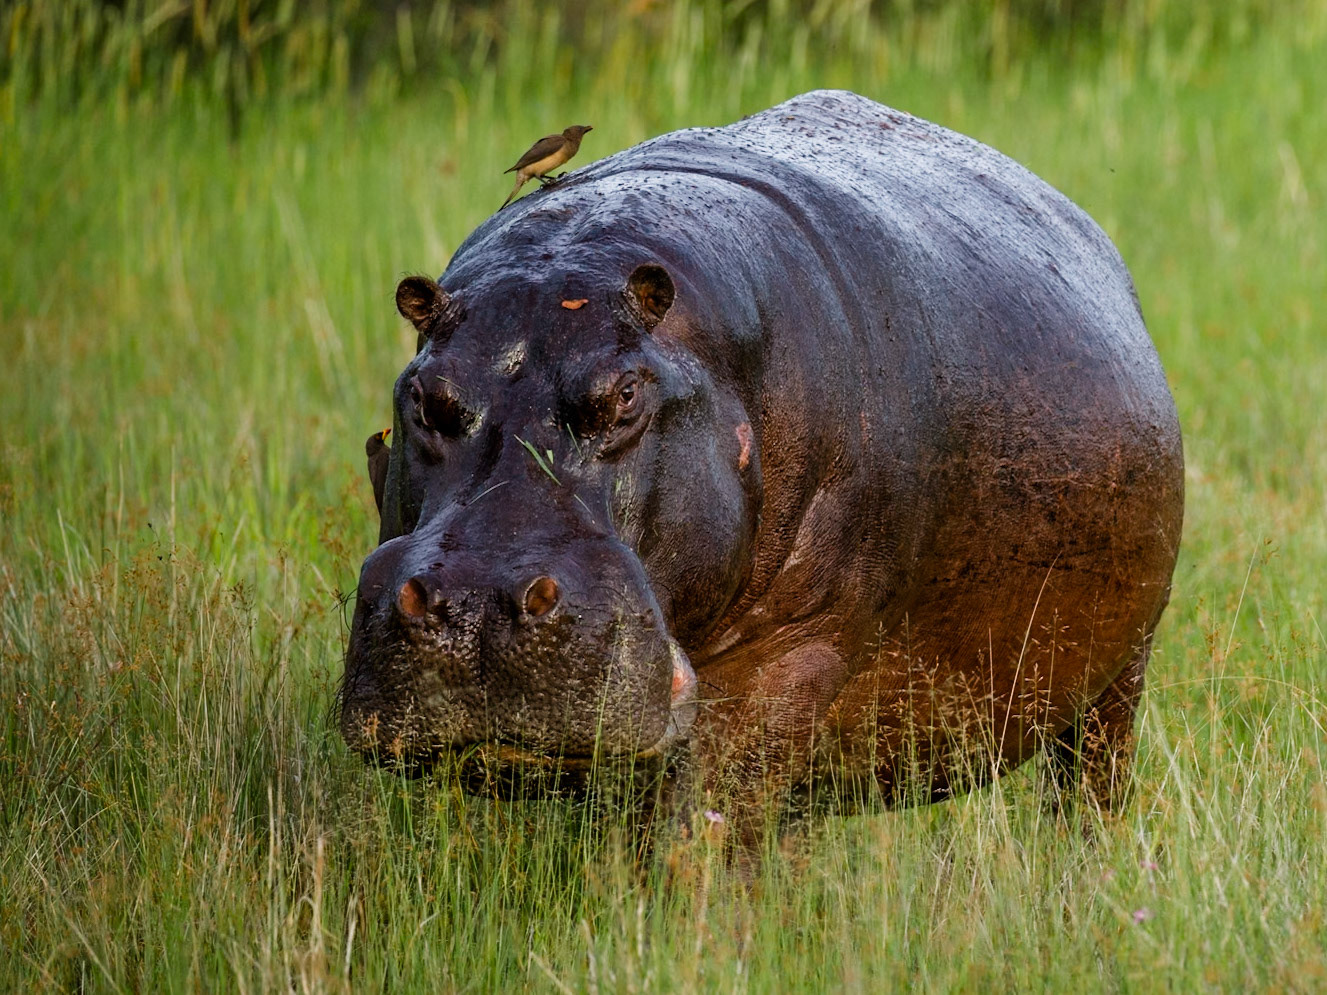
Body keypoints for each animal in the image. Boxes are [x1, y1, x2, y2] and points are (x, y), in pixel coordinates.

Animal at [340, 90, 1183, 831]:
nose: (476, 603)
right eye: (422, 394)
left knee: (1087, 788)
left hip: (1120, 679)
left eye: (625, 393)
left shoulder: (789, 653)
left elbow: (702, 834)